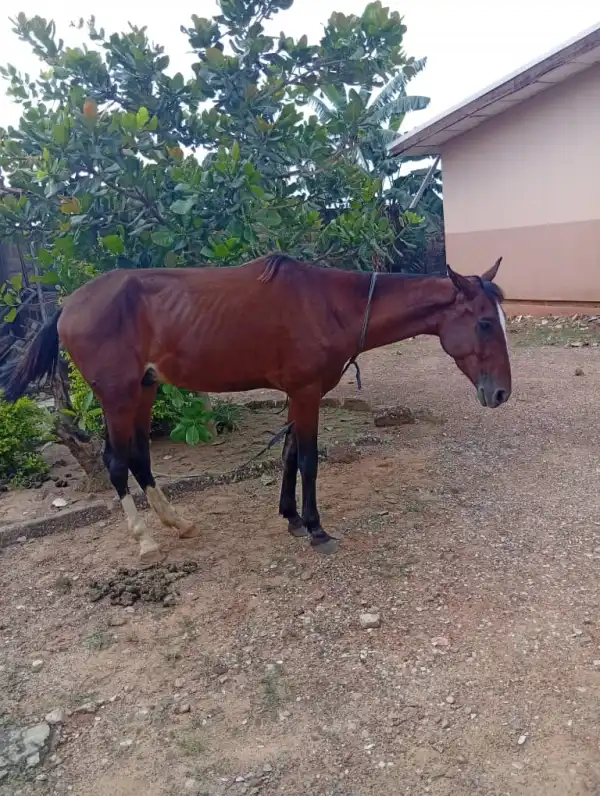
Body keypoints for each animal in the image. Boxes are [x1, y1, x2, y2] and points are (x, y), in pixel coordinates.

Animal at [0, 253, 511, 562]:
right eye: (485, 323)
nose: (502, 393)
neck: (330, 306)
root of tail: (69, 305)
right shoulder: (306, 393)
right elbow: (308, 459)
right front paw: (316, 528)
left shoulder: (294, 394)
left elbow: (288, 454)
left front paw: (291, 519)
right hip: (118, 395)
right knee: (115, 461)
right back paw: (145, 539)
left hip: (144, 390)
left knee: (139, 457)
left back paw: (177, 522)